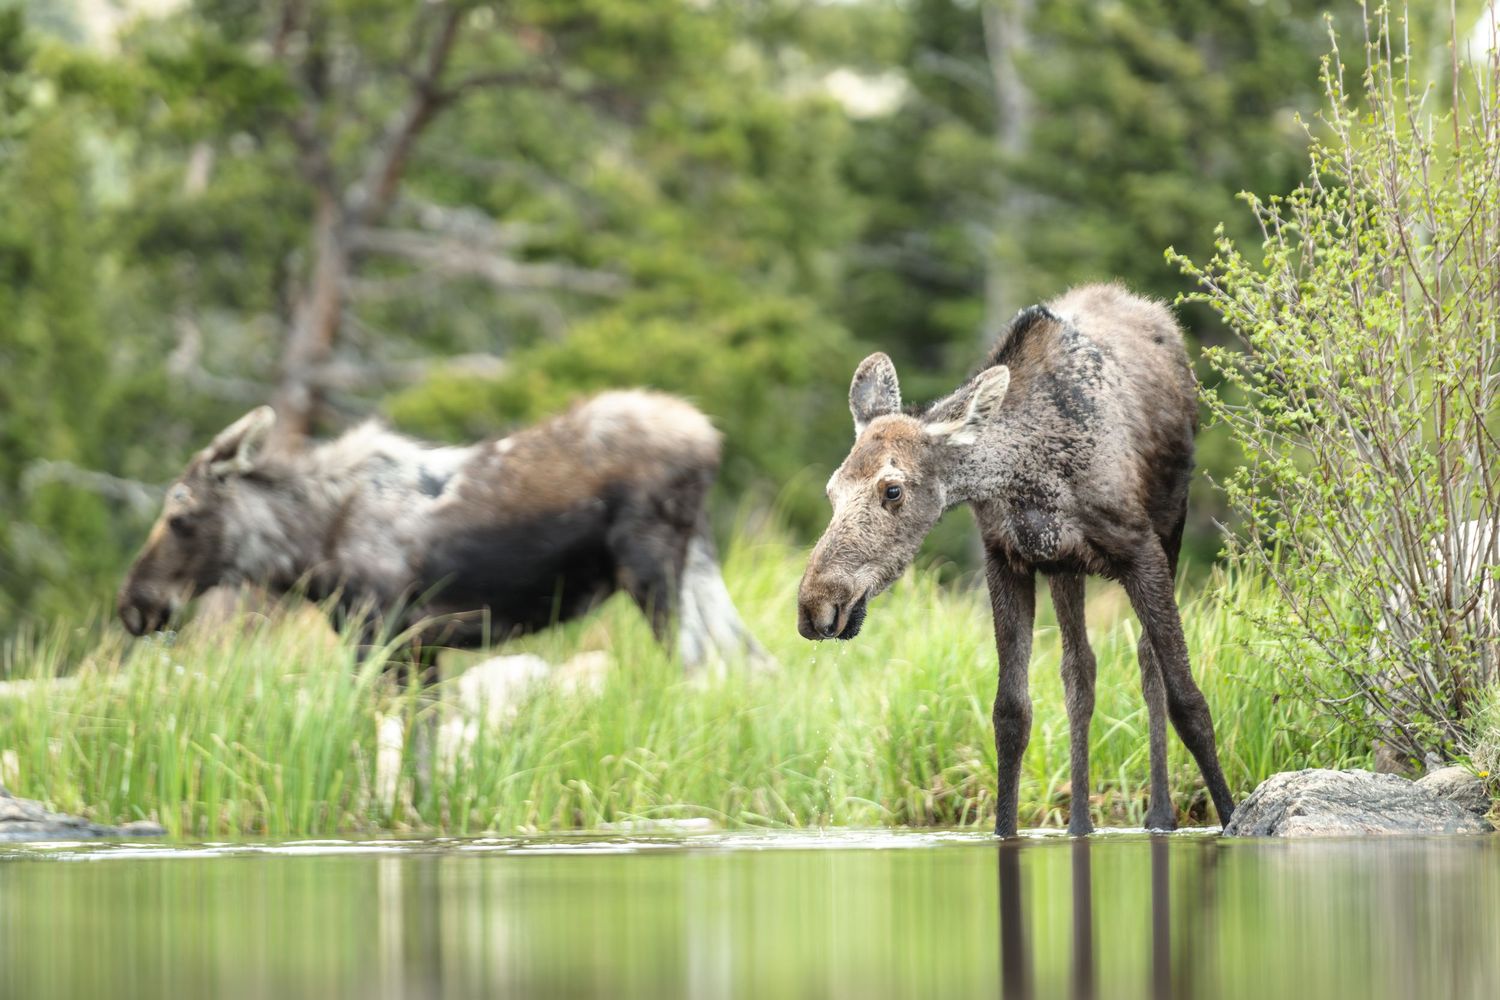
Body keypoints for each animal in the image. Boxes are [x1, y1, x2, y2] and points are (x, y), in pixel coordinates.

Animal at [796, 283, 1235, 836]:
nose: (815, 605)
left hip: (1170, 523)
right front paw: (1005, 830)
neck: (1031, 471)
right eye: (831, 491)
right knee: (1080, 670)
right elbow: (1011, 712)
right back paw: (1080, 824)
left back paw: (1159, 815)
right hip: (1066, 568)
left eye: (892, 489)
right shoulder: (1006, 560)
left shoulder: (1141, 550)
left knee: (1144, 660)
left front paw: (1232, 815)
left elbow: (1187, 698)